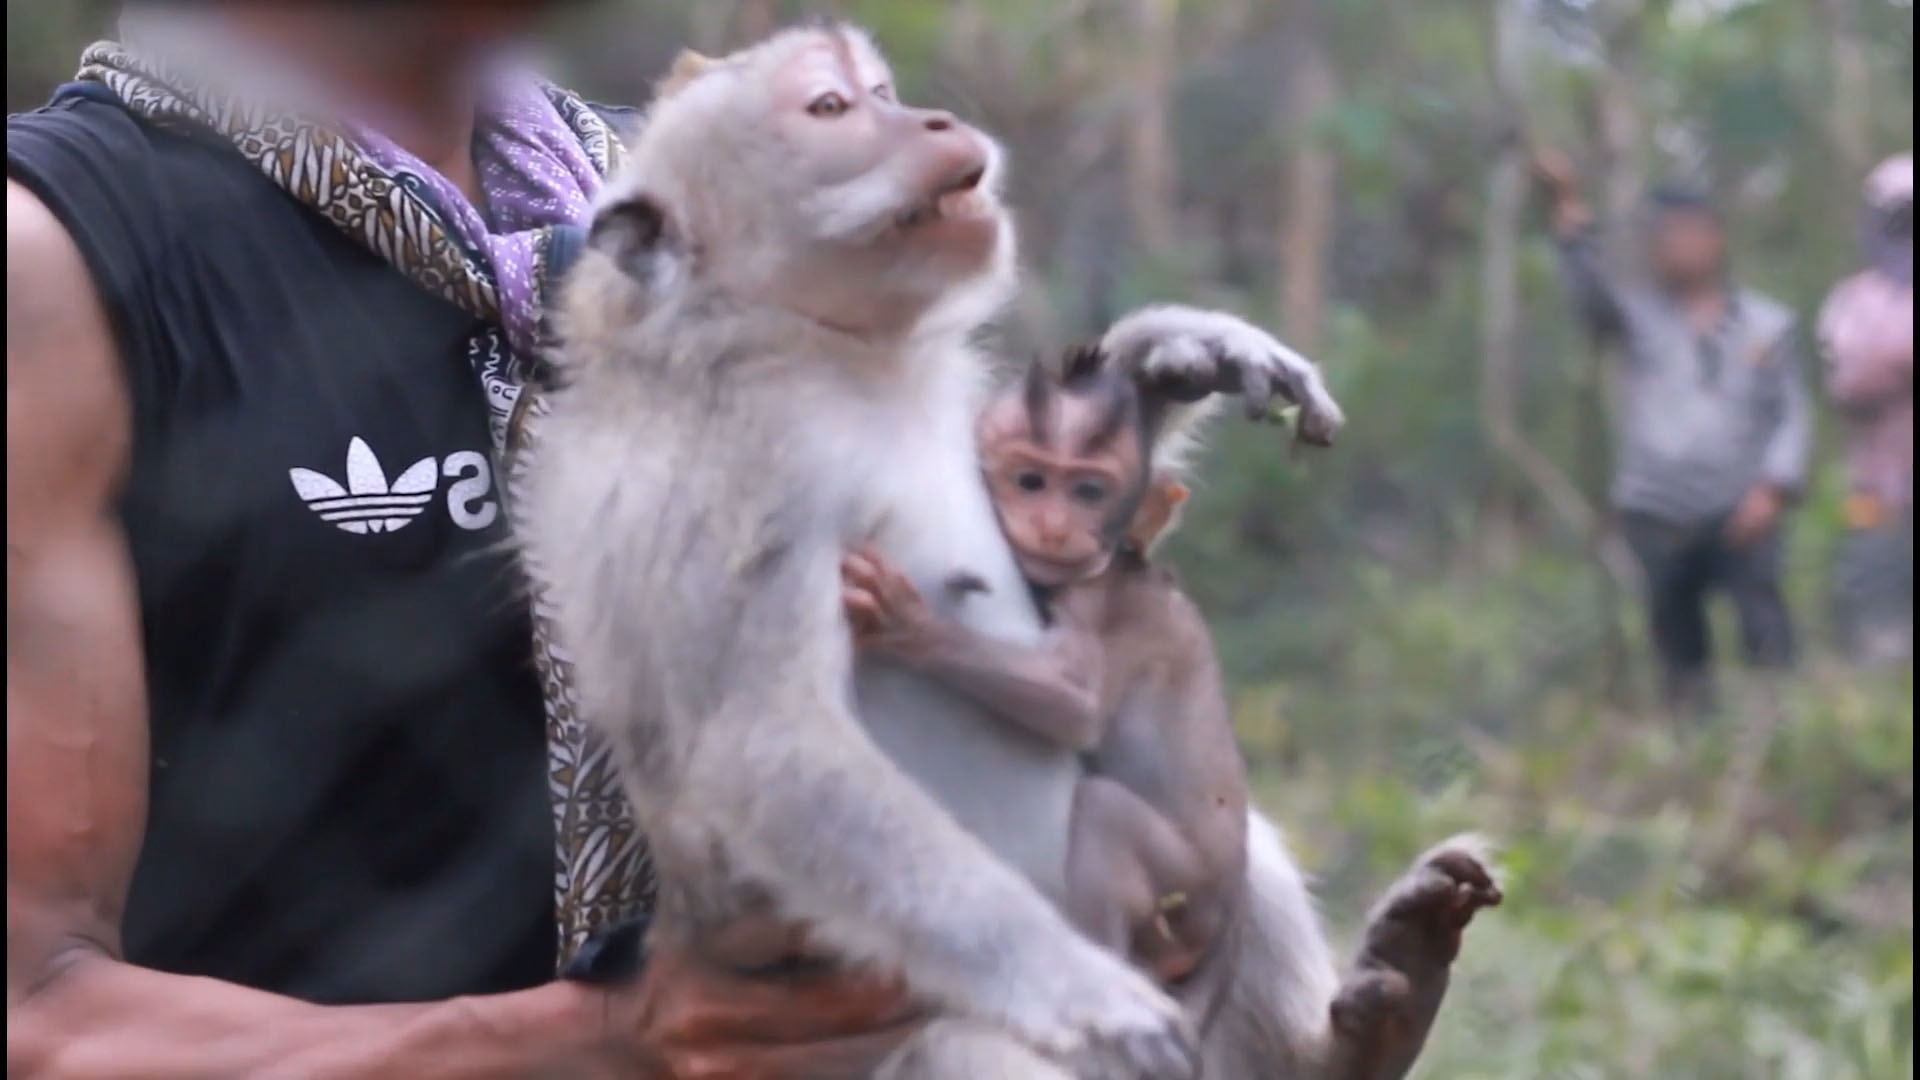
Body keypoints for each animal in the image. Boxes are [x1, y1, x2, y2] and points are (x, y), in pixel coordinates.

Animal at [840, 340, 1244, 980]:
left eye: (1088, 492)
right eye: (1030, 480)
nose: (1053, 528)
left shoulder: (1099, 598)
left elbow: (1075, 704)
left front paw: (907, 624)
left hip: (1188, 886)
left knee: (1103, 814)